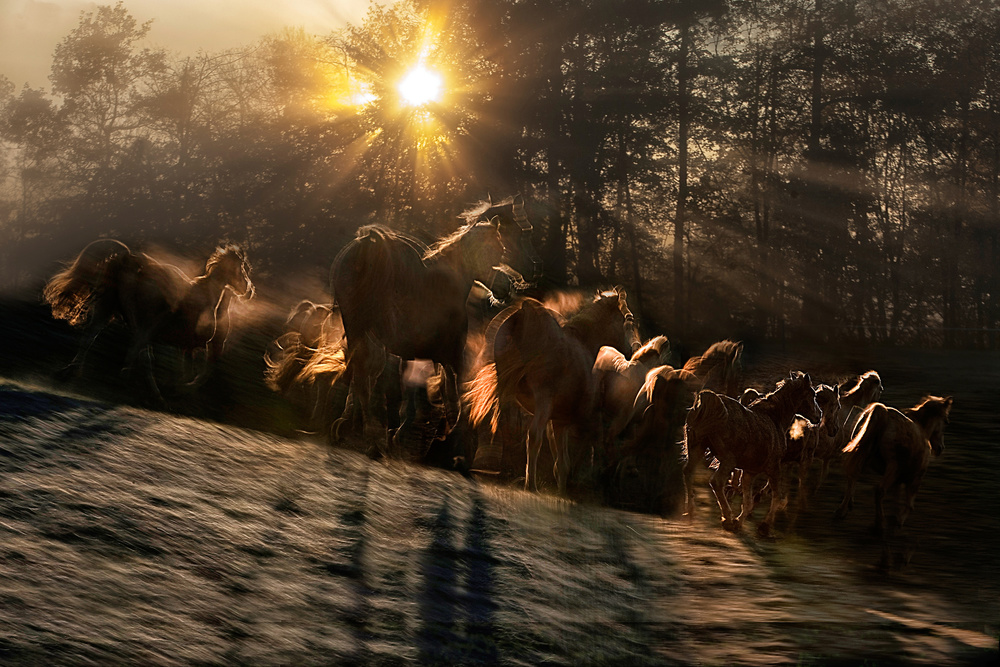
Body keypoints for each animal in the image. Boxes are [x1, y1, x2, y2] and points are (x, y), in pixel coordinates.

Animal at [44, 239, 254, 402]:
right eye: (242, 269)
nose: (248, 290)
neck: (207, 296)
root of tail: (128, 257)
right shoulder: (190, 345)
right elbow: (195, 373)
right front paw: (179, 390)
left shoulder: (184, 346)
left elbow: (185, 370)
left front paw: (177, 390)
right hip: (145, 322)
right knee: (137, 349)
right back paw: (135, 386)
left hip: (108, 310)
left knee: (91, 338)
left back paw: (69, 372)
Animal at [466, 288, 632, 496]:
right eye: (627, 319)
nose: (631, 351)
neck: (585, 346)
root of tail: (527, 312)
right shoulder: (577, 420)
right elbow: (572, 456)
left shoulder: (558, 421)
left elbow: (561, 459)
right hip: (543, 399)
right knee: (533, 436)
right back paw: (531, 484)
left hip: (507, 388)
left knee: (502, 425)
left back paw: (498, 469)